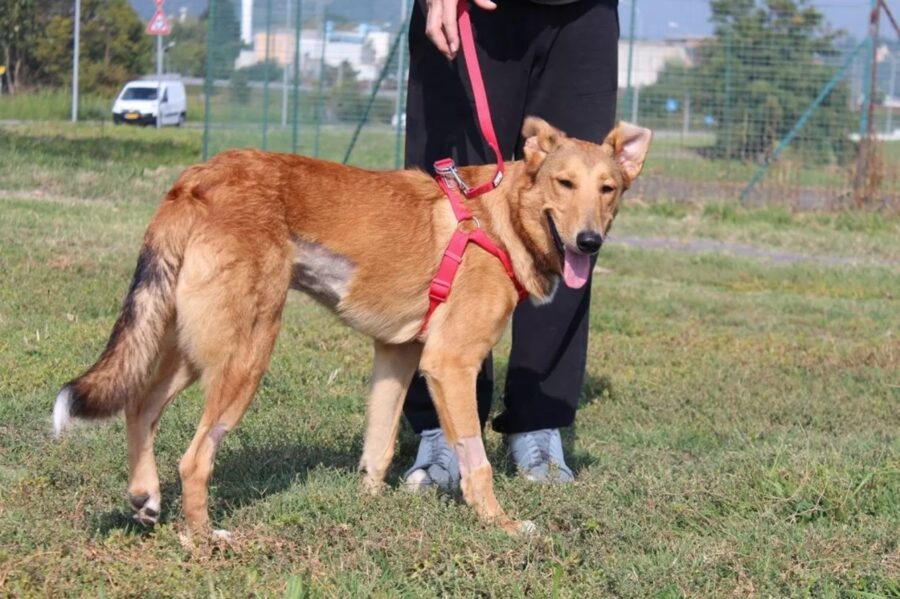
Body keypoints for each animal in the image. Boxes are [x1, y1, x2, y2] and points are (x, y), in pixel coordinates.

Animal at [52, 116, 652, 536]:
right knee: (195, 458)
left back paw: (145, 498)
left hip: (191, 347)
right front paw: (500, 525)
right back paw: (204, 539)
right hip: (245, 354)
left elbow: (378, 447)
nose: (589, 243)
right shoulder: (450, 363)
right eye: (564, 183)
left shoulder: (397, 356)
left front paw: (368, 507)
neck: (499, 219)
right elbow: (475, 461)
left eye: (609, 189)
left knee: (140, 406)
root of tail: (197, 178)